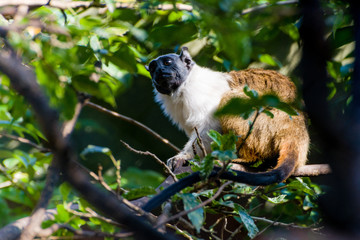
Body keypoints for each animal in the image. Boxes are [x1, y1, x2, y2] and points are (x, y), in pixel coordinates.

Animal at [143, 47, 310, 212]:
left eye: (167, 62)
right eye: (153, 68)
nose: (159, 71)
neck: (184, 86)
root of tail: (296, 130)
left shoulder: (199, 93)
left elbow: (210, 126)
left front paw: (184, 157)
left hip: (270, 121)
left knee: (229, 98)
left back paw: (250, 159)